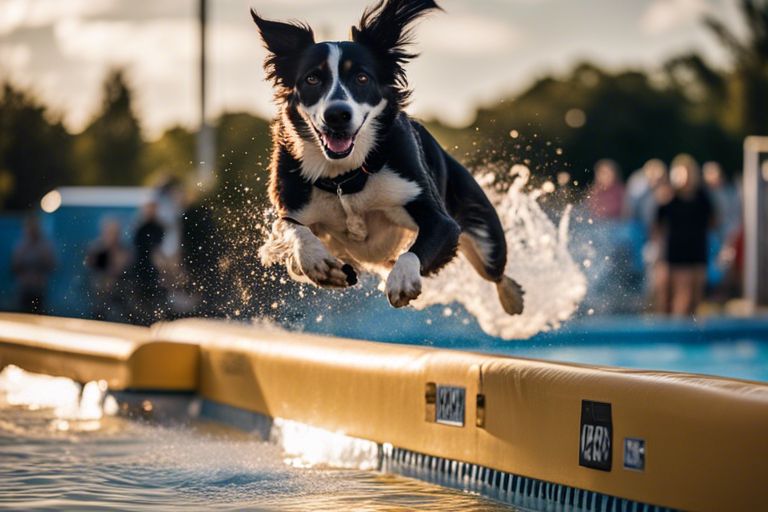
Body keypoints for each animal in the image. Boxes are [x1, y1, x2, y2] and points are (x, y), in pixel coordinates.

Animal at [250, 0, 520, 314]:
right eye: (312, 78)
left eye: (362, 77)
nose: (337, 114)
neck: (344, 177)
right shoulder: (292, 205)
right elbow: (289, 229)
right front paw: (317, 261)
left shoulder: (438, 218)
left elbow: (417, 249)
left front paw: (402, 280)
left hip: (485, 237)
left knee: (497, 274)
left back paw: (514, 300)